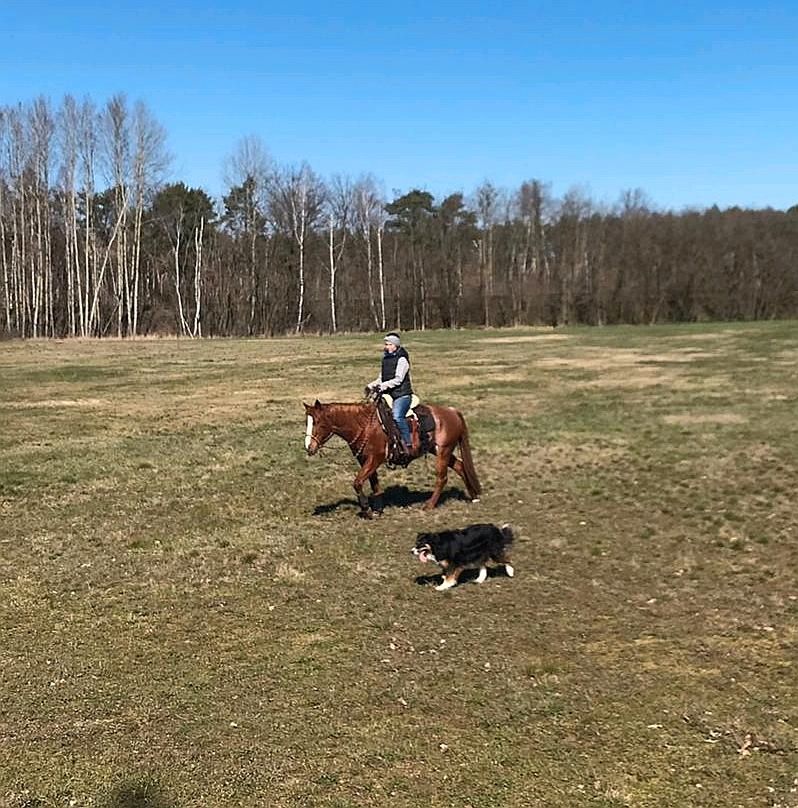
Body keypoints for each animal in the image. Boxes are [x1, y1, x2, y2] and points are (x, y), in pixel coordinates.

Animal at [304, 398, 482, 516]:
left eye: (318, 422)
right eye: (307, 422)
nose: (309, 447)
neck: (364, 425)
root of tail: (452, 411)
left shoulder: (375, 459)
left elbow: (357, 482)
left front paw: (366, 509)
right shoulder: (365, 460)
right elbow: (373, 484)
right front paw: (377, 509)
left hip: (443, 451)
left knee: (442, 478)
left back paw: (429, 505)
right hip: (439, 450)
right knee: (460, 466)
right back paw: (473, 497)